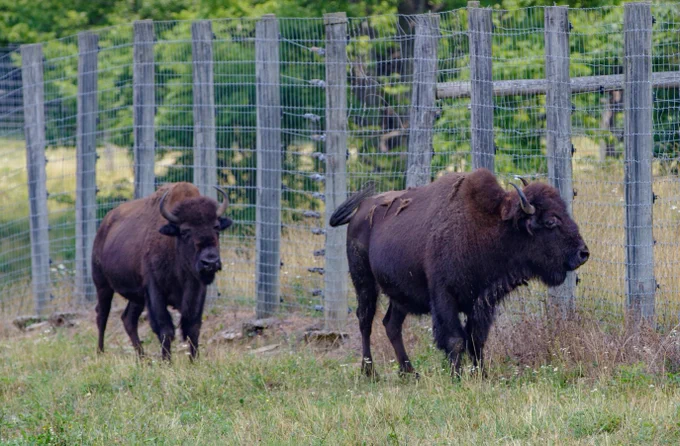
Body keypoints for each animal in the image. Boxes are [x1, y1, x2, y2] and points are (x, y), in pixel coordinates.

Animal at [92, 182, 232, 360]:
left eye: (217, 227)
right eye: (185, 231)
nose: (210, 262)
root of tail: (104, 226)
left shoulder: (197, 291)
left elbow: (192, 327)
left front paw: (194, 361)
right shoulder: (155, 291)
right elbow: (165, 329)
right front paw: (167, 361)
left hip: (137, 297)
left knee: (128, 319)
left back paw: (142, 358)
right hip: (102, 284)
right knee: (102, 315)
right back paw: (100, 352)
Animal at [330, 168, 589, 376]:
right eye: (550, 221)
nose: (583, 253)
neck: (490, 227)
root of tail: (360, 210)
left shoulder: (483, 300)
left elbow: (476, 339)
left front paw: (482, 375)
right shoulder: (444, 296)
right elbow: (455, 340)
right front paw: (457, 377)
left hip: (399, 294)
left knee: (391, 325)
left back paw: (410, 373)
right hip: (364, 282)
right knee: (365, 321)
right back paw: (370, 372)